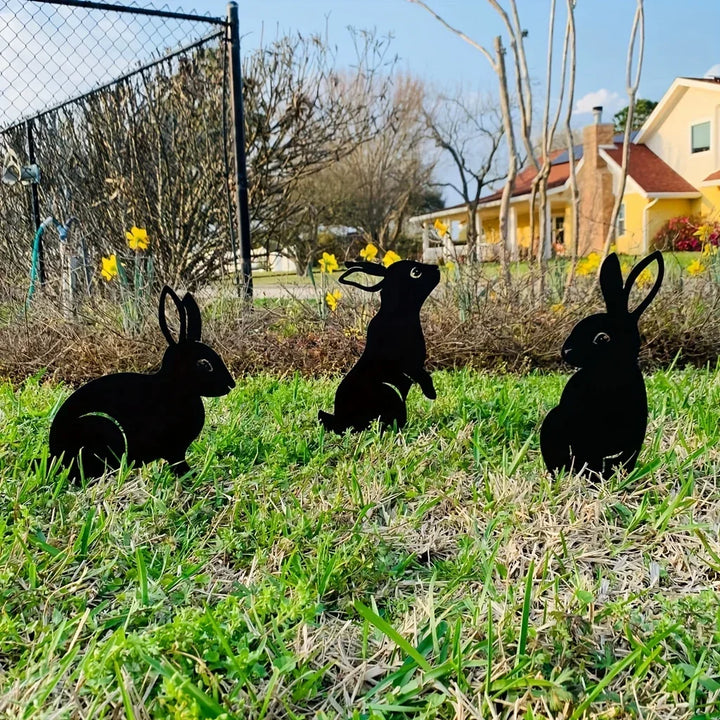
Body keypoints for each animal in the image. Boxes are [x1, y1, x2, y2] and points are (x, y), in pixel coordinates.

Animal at [49, 286, 235, 481]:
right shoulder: (174, 451)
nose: (231, 385)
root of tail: (54, 454)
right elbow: (178, 464)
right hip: (101, 428)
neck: (175, 387)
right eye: (204, 364)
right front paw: (190, 477)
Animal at [319, 259, 440, 433]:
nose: (437, 268)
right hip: (390, 395)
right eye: (415, 272)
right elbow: (422, 376)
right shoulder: (408, 365)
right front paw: (431, 394)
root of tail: (340, 421)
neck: (398, 315)